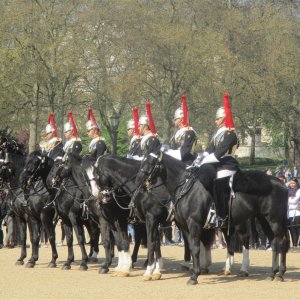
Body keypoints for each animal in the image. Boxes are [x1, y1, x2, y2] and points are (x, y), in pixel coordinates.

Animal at [135, 152, 290, 284]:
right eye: (141, 162)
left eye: (150, 162)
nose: (138, 182)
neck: (185, 188)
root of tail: (281, 183)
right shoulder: (185, 226)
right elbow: (191, 247)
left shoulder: (193, 224)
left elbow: (195, 248)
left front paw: (194, 276)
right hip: (263, 220)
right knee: (273, 242)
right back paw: (272, 273)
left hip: (273, 220)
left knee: (279, 241)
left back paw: (279, 273)